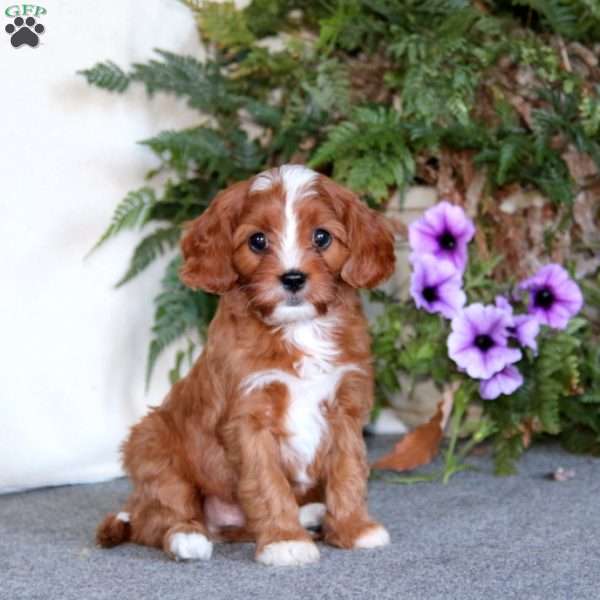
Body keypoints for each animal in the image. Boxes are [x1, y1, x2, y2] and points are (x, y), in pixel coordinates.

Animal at [98, 165, 396, 568]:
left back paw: (310, 513)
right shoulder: (248, 419)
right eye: (257, 241)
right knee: (159, 516)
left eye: (321, 237)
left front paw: (353, 528)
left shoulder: (345, 409)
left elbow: (348, 472)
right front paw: (285, 540)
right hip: (151, 444)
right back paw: (187, 537)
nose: (292, 277)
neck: (298, 328)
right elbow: (267, 482)